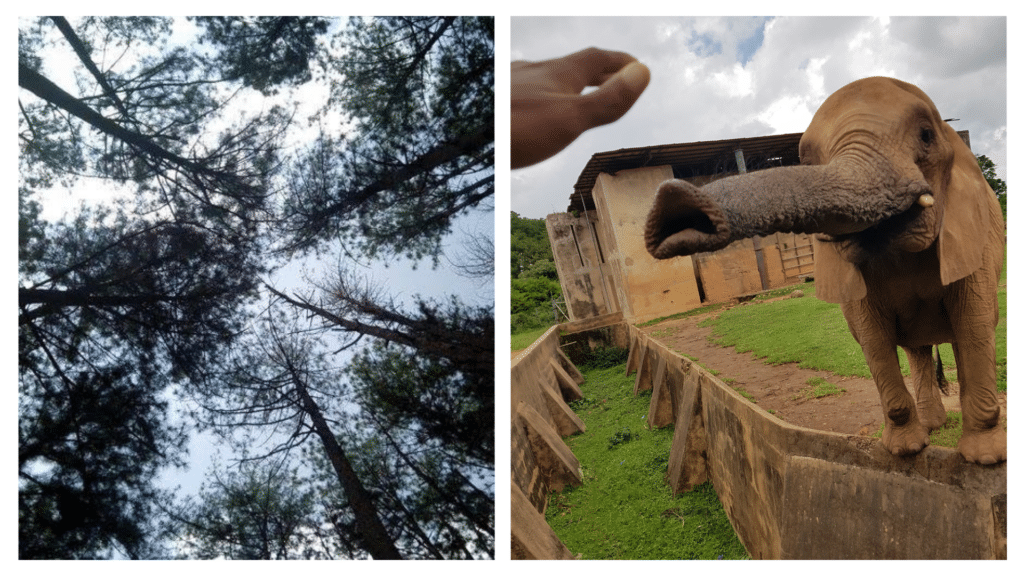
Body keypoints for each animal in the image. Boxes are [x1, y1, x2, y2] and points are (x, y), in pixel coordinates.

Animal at [643, 75, 1003, 461]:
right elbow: (873, 338)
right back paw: (934, 426)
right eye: (807, 160)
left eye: (926, 135)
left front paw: (985, 458)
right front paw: (905, 451)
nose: (673, 206)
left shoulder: (974, 235)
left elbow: (974, 322)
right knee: (917, 349)